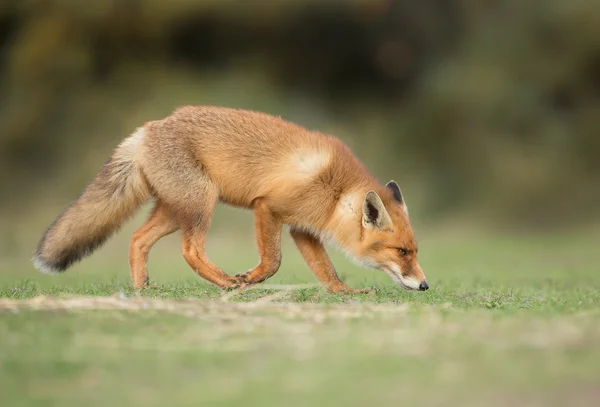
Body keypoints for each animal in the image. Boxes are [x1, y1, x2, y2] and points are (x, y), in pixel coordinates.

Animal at [32, 106, 428, 294]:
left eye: (414, 251)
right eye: (401, 252)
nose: (425, 285)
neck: (335, 192)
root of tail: (148, 129)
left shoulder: (302, 228)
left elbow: (326, 269)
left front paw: (343, 291)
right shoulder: (268, 207)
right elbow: (273, 261)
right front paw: (251, 278)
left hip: (177, 210)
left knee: (138, 239)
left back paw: (143, 288)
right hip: (201, 204)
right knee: (190, 251)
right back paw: (225, 283)